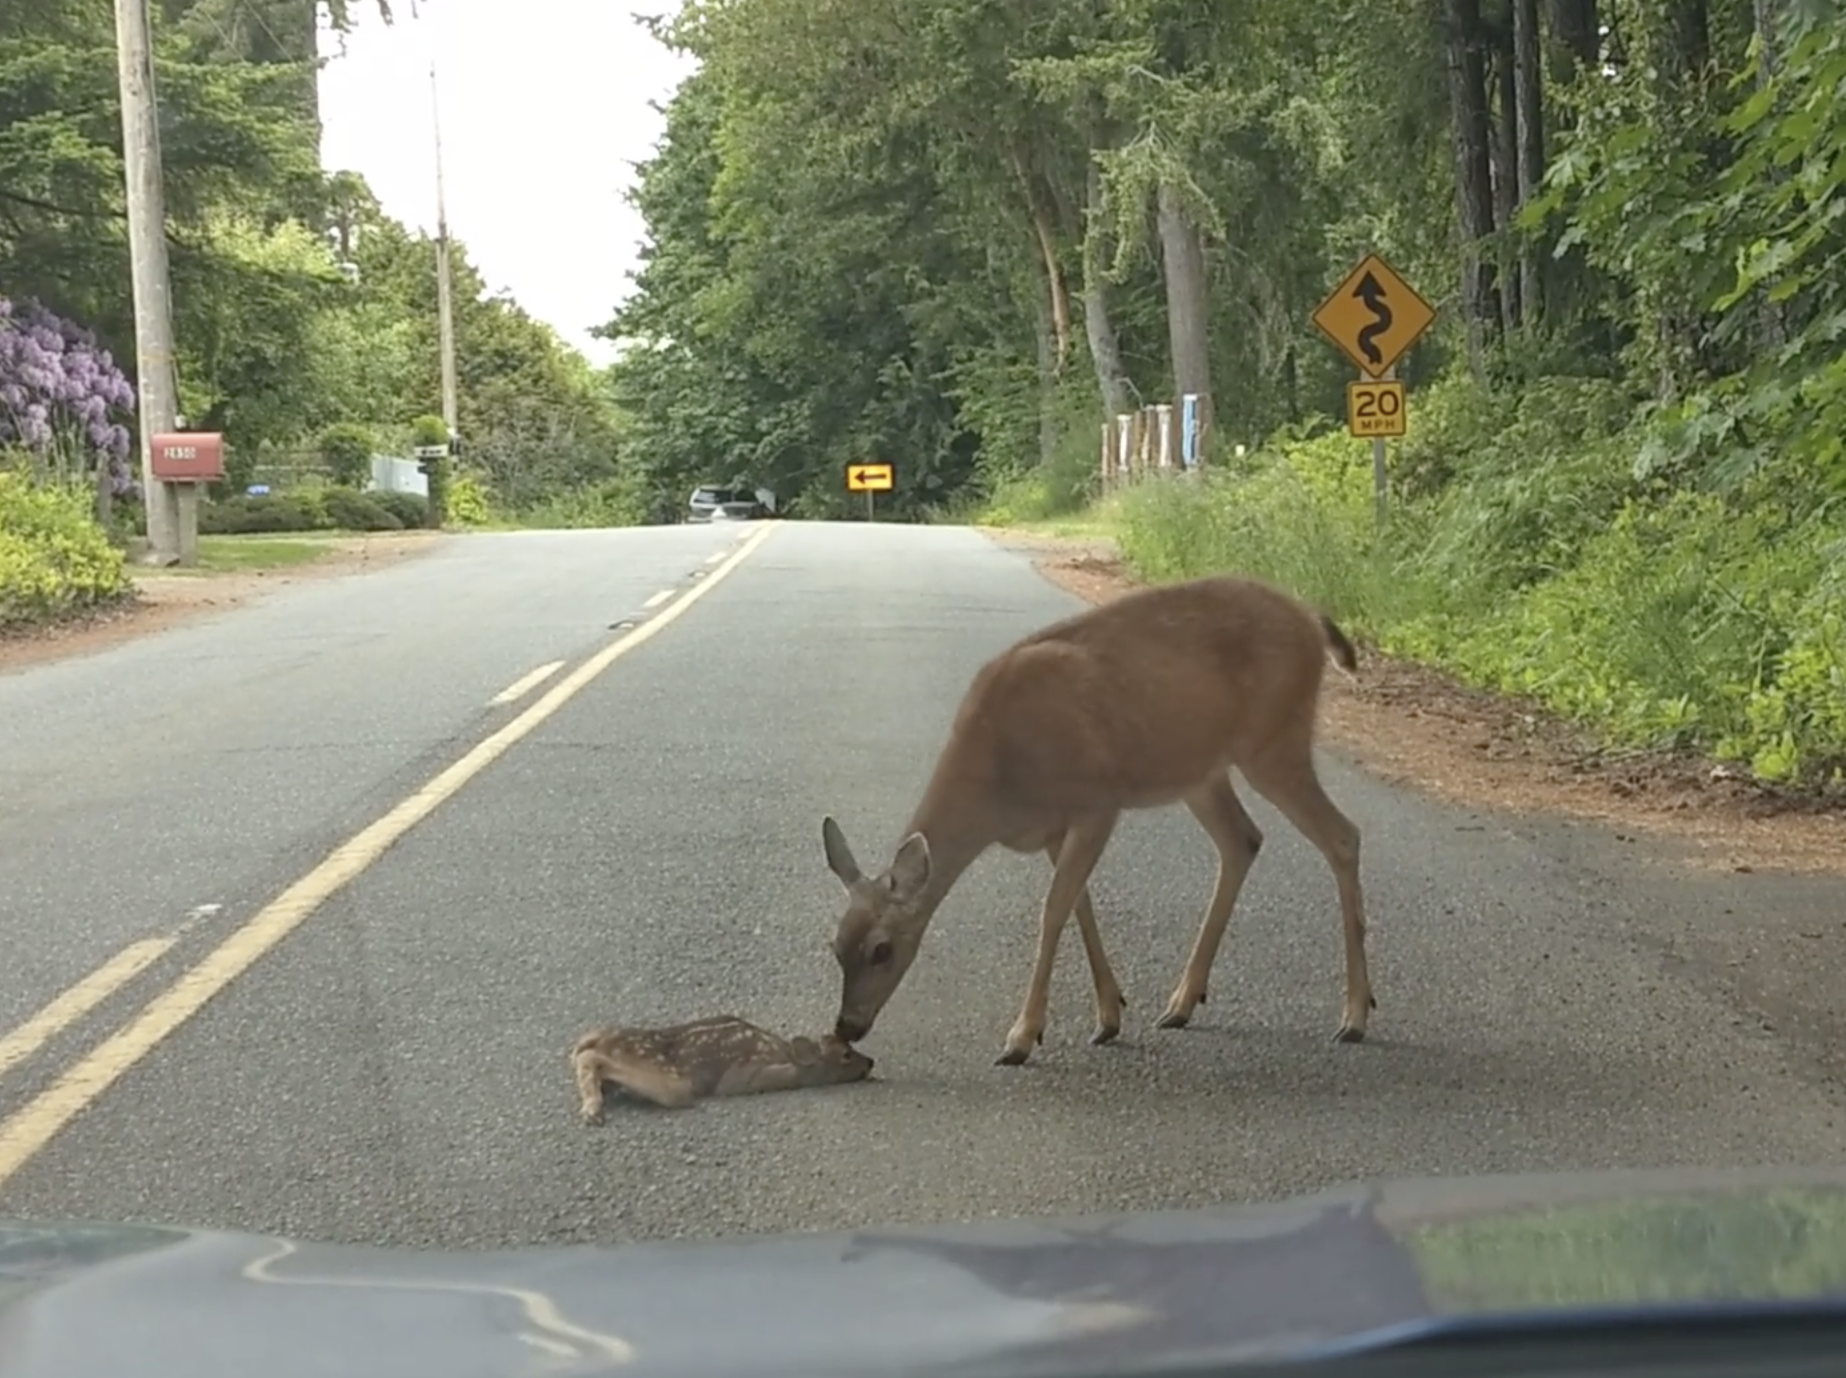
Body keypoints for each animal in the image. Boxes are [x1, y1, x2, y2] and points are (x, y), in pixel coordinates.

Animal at [571, 1015, 874, 1122]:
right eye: (846, 1055)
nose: (870, 1062)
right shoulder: (749, 1074)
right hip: (674, 1085)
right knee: (589, 1057)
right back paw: (592, 1111)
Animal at [819, 572, 1374, 1068]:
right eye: (835, 946)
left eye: (882, 950)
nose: (846, 1027)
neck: (1000, 780)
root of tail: (1310, 619)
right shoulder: (1054, 826)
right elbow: (1078, 904)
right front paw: (1109, 1016)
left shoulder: (1097, 803)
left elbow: (1053, 909)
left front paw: (1021, 1038)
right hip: (1201, 771)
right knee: (1243, 839)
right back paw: (1182, 1003)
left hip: (1274, 741)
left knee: (1343, 836)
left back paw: (1355, 1015)